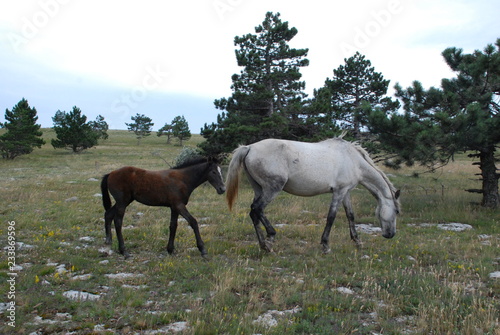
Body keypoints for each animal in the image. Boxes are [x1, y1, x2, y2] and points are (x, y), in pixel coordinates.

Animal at [225, 136, 400, 252]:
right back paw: (270, 238)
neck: (353, 161)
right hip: (272, 188)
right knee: (257, 208)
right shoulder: (338, 192)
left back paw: (263, 245)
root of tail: (249, 147)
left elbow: (350, 215)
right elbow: (331, 217)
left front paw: (357, 241)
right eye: (397, 211)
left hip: (259, 189)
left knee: (253, 212)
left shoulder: (346, 192)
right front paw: (325, 245)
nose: (391, 234)